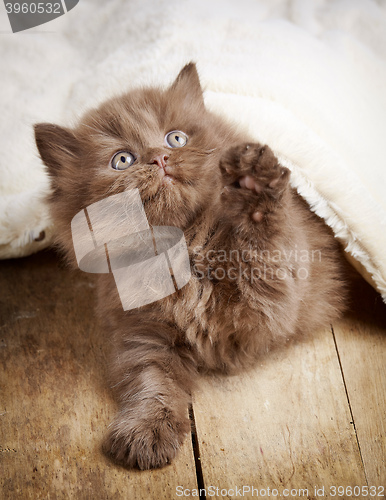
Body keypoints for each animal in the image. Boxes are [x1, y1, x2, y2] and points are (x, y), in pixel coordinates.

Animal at [34, 61, 346, 468]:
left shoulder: (267, 309)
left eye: (176, 139)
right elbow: (152, 382)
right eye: (122, 160)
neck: (178, 247)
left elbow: (263, 249)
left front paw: (254, 186)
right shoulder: (145, 334)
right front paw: (146, 431)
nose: (159, 158)